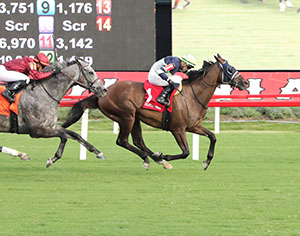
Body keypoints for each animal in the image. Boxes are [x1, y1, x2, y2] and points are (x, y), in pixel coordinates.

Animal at [62, 54, 247, 171]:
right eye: (230, 69)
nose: (245, 83)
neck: (193, 95)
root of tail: (103, 92)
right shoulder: (177, 129)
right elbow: (186, 152)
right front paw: (165, 155)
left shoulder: (193, 126)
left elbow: (213, 137)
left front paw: (206, 162)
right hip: (126, 116)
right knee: (122, 141)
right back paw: (150, 159)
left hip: (135, 117)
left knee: (138, 141)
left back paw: (157, 159)